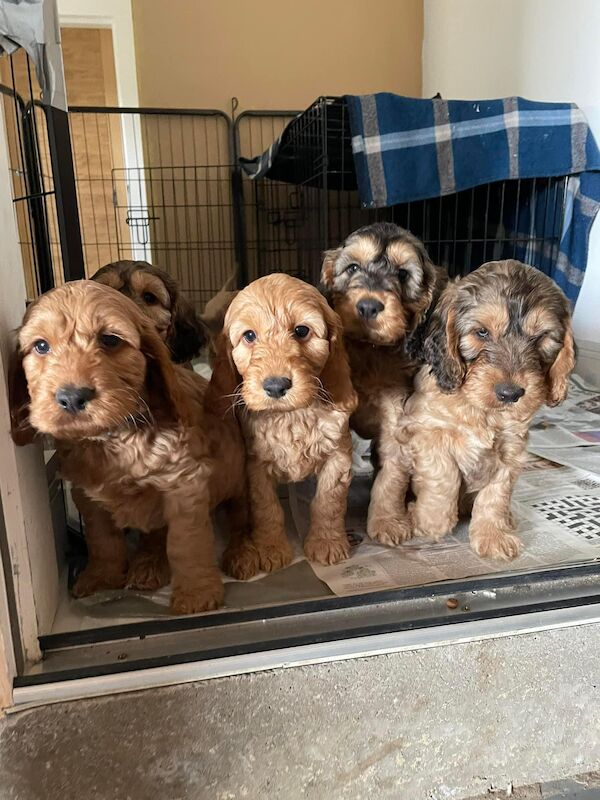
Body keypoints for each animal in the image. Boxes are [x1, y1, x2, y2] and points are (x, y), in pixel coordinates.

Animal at [8, 282, 246, 612]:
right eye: (41, 346)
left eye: (110, 340)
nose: (72, 397)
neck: (114, 438)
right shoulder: (87, 493)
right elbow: (102, 539)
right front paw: (102, 578)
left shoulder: (184, 486)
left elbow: (186, 543)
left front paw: (197, 595)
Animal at [214, 276, 358, 576]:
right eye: (249, 336)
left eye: (302, 331)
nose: (275, 386)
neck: (292, 415)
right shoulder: (255, 465)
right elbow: (267, 509)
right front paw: (271, 549)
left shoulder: (338, 455)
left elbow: (328, 500)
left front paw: (326, 542)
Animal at [324, 222, 446, 548]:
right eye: (352, 267)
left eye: (402, 274)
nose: (367, 306)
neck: (371, 349)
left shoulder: (396, 419)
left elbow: (392, 475)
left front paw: (387, 522)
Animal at [400, 260, 576, 560]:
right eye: (481, 332)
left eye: (540, 337)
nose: (510, 393)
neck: (482, 411)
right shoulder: (427, 430)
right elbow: (443, 477)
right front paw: (429, 523)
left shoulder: (512, 449)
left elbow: (496, 494)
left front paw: (494, 535)